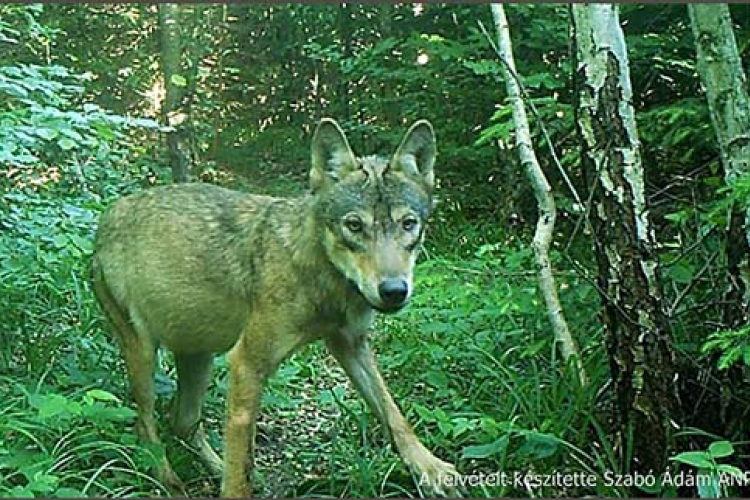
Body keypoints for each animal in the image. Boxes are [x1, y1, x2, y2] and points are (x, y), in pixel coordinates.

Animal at [91, 117, 462, 496]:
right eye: (354, 226)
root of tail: (105, 219)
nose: (393, 291)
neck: (322, 277)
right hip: (144, 353)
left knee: (182, 422)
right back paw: (168, 481)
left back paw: (211, 468)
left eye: (408, 224)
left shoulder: (351, 344)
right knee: (146, 424)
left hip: (199, 356)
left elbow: (393, 412)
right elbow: (241, 463)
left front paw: (430, 468)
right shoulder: (246, 363)